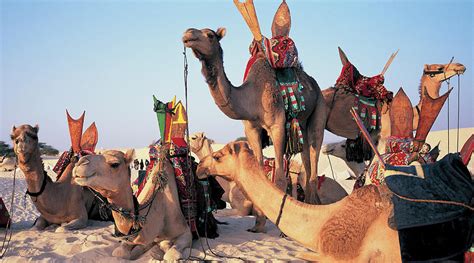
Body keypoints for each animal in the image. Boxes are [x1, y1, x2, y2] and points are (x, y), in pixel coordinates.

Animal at [183, 0, 328, 208]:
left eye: (210, 35)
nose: (187, 34)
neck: (251, 96)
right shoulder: (251, 129)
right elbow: (259, 173)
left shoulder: (277, 126)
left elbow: (280, 179)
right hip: (302, 125)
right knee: (307, 161)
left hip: (320, 109)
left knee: (315, 155)